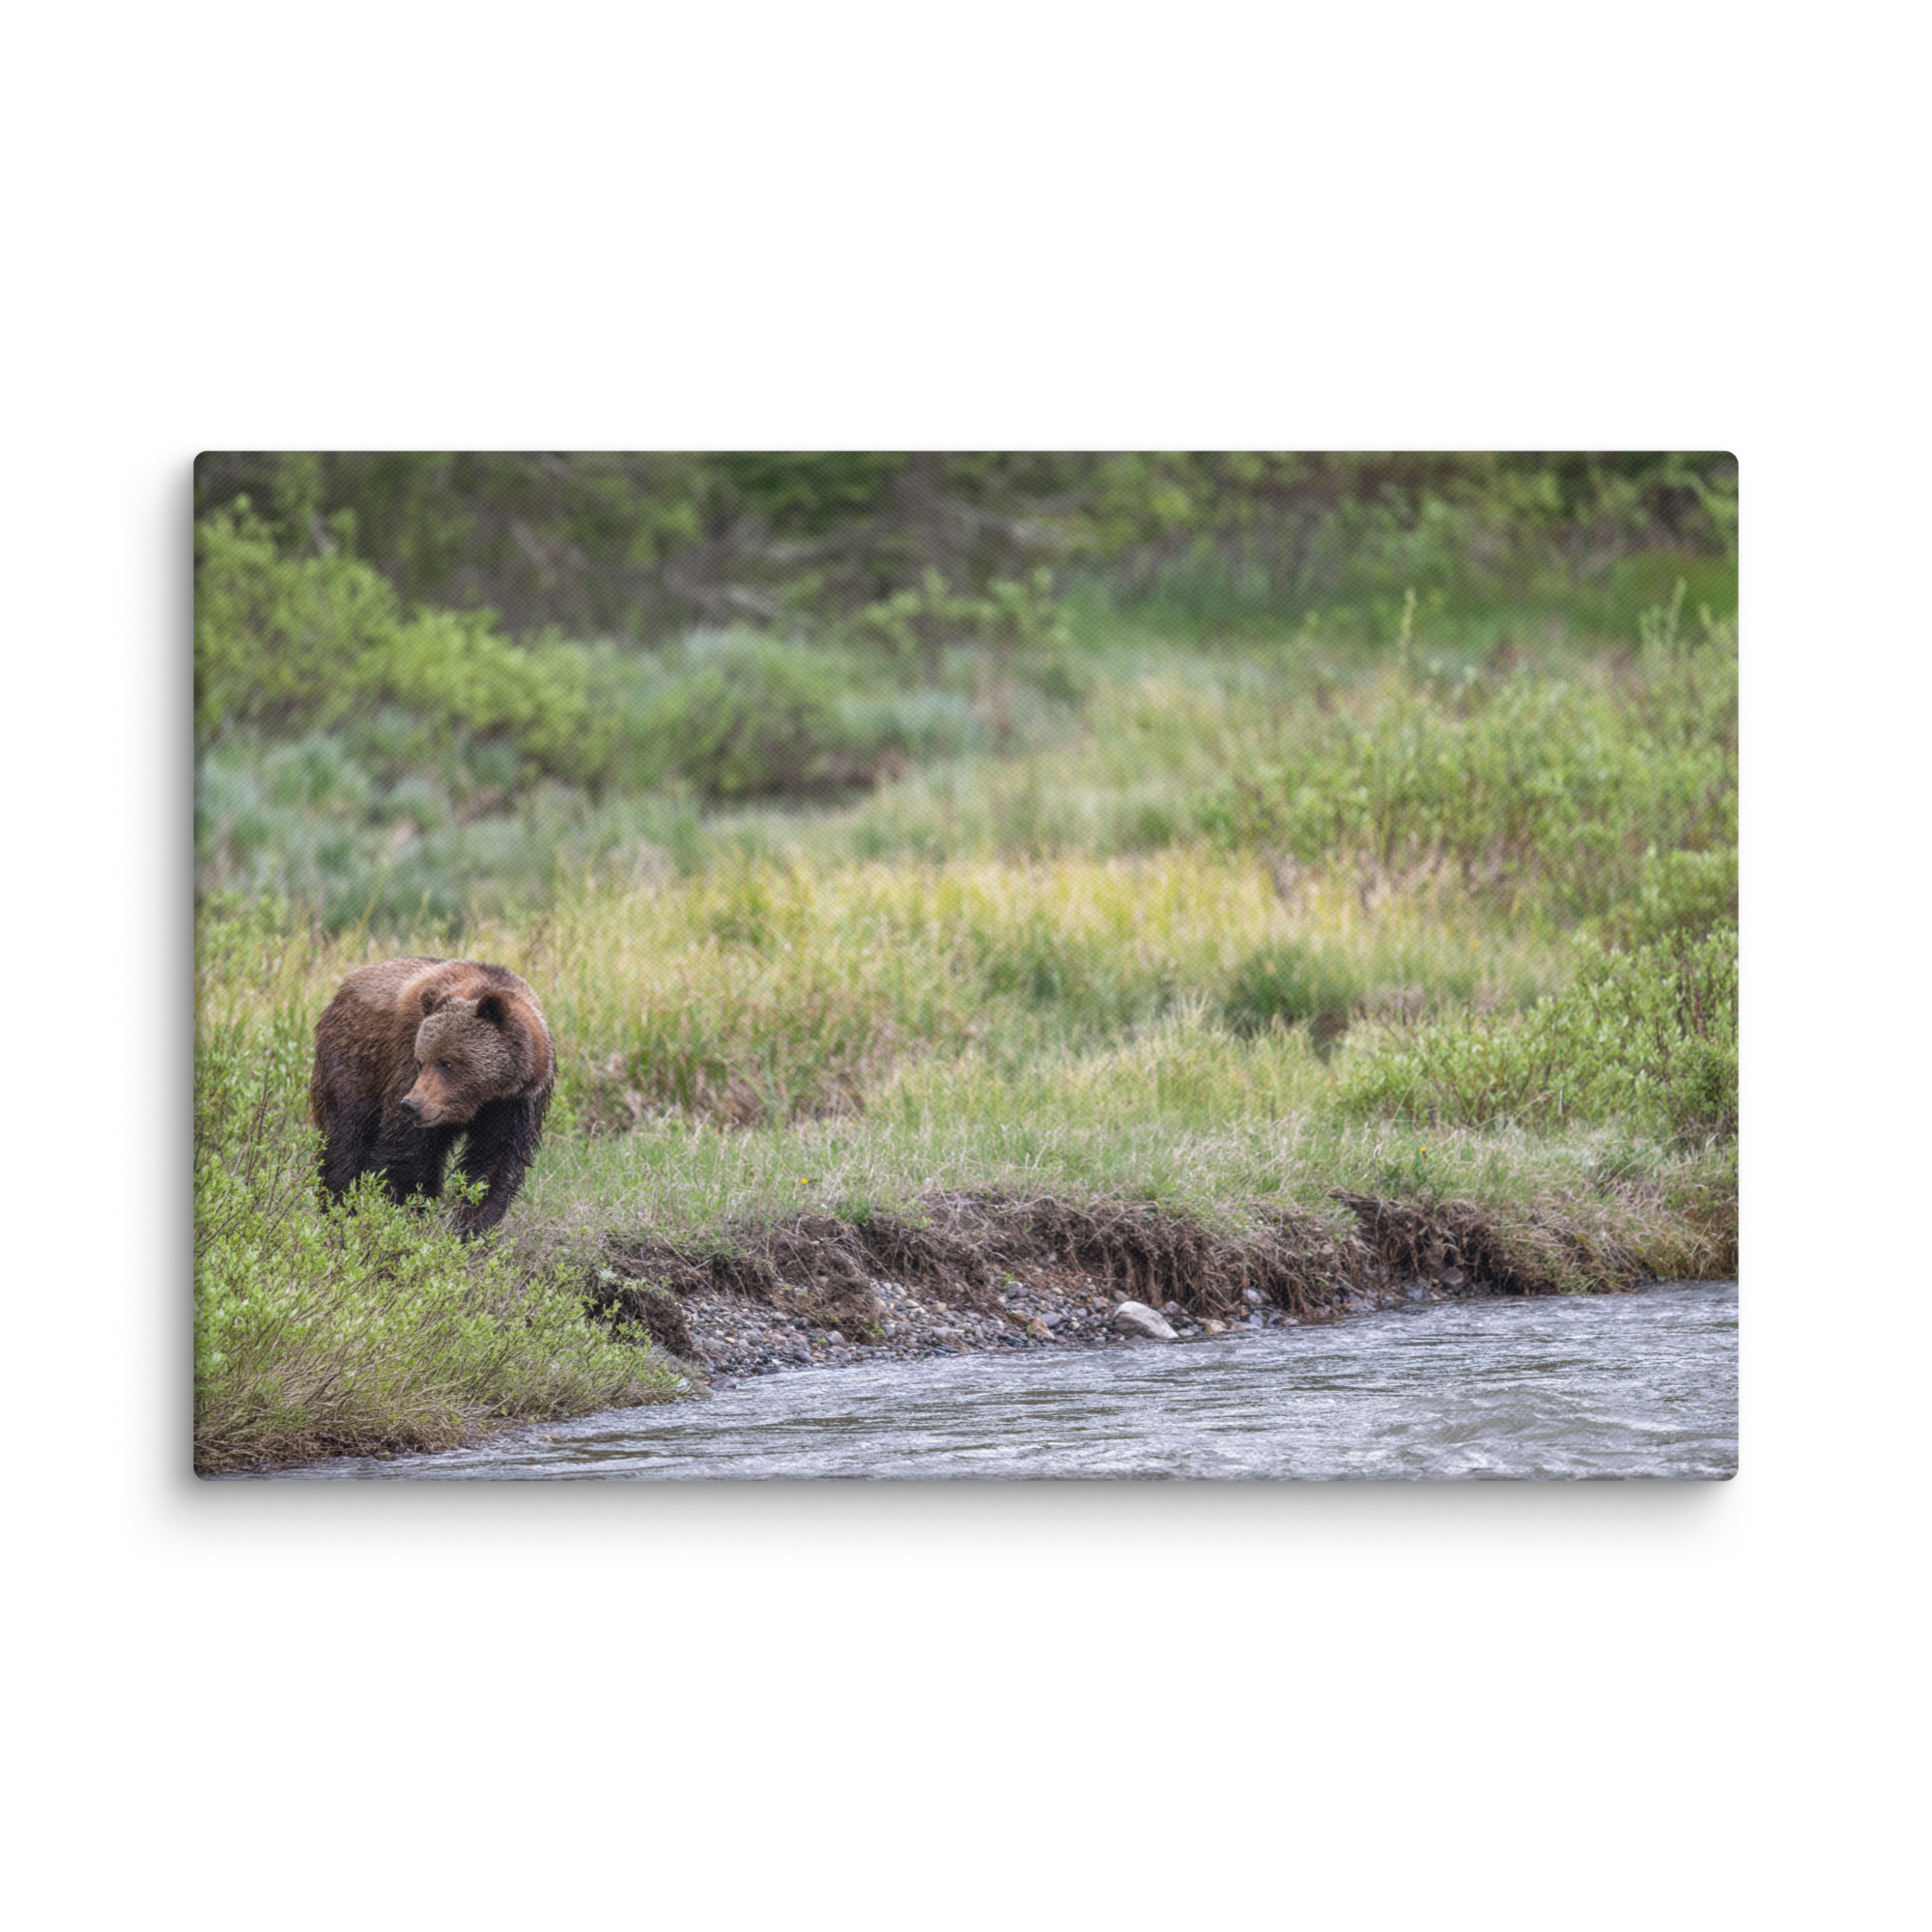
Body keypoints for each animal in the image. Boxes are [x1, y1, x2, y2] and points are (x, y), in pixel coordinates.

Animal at [310, 956, 555, 1236]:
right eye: (421, 1061)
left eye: (447, 1063)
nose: (411, 1105)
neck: (482, 1098)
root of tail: (346, 984)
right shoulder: (405, 1064)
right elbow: (408, 1155)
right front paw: (406, 1215)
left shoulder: (516, 1103)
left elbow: (494, 1163)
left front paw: (471, 1227)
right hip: (355, 1061)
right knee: (346, 1138)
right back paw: (339, 1211)